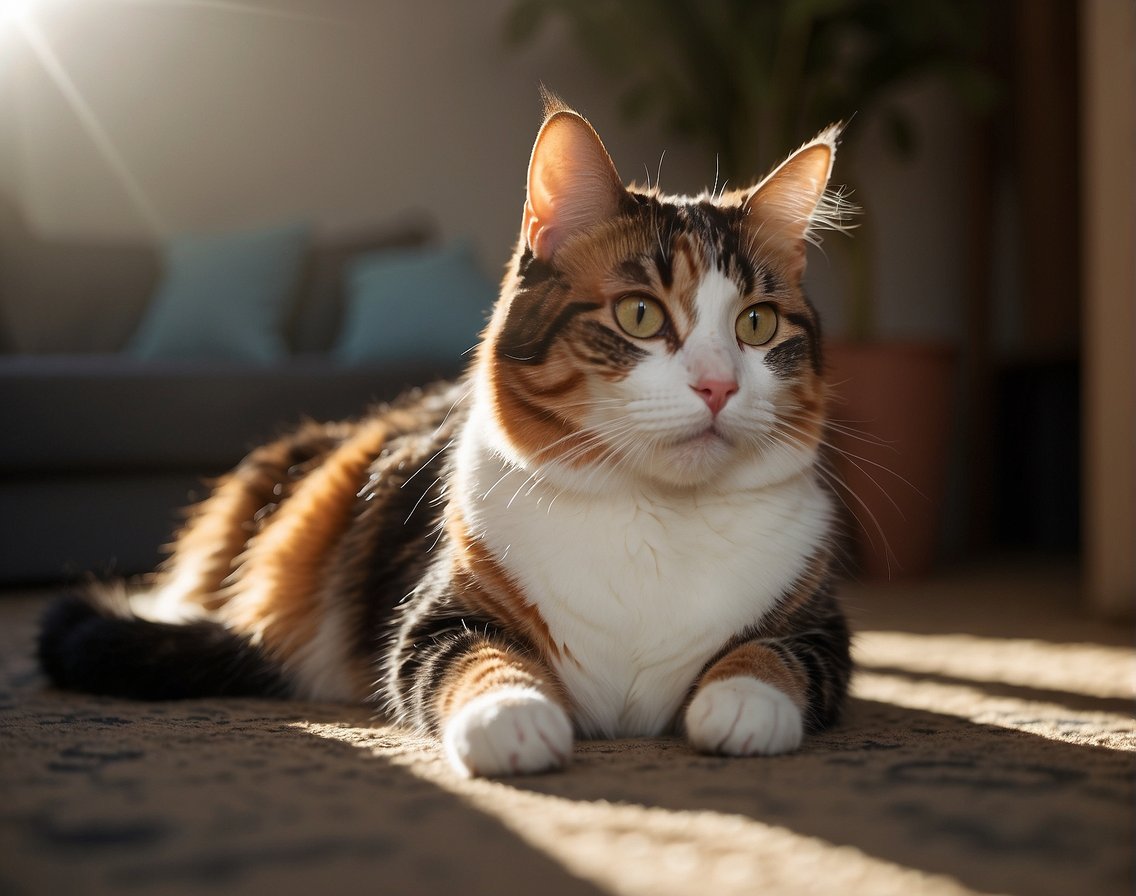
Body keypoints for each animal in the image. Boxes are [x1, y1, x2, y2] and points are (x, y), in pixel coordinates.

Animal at [37, 94, 854, 772]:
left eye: (757, 325)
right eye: (641, 315)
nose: (718, 385)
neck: (655, 517)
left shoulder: (820, 628)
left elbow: (772, 656)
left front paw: (740, 706)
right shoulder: (439, 615)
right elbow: (477, 660)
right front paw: (513, 719)